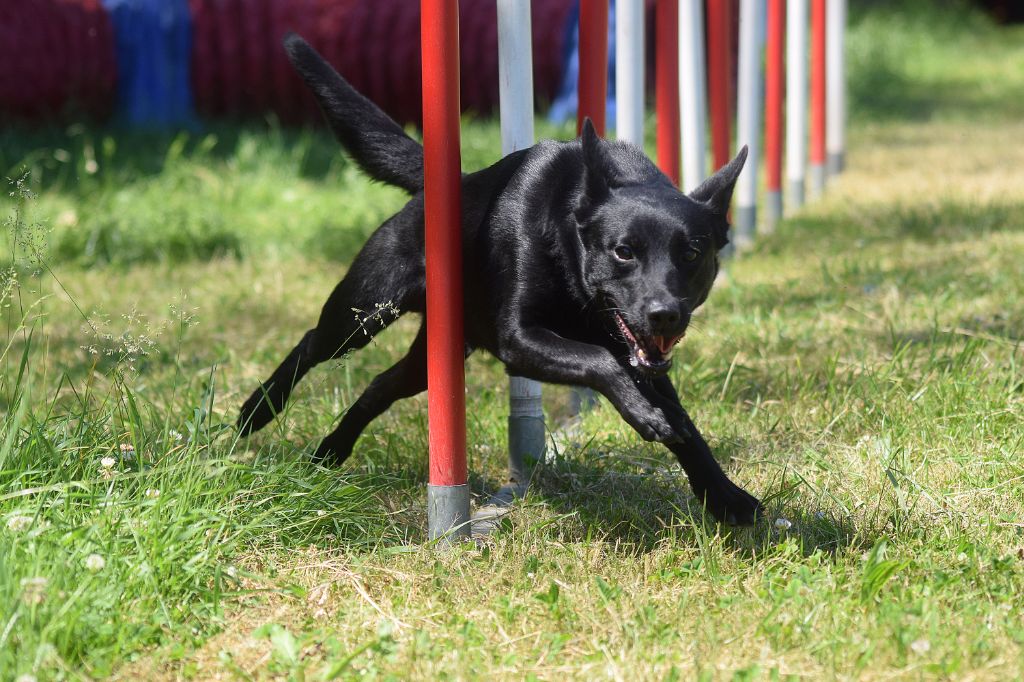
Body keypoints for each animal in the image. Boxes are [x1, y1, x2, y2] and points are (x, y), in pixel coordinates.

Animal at [239, 34, 765, 522]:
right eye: (623, 252)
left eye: (692, 253)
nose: (664, 315)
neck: (568, 245)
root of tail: (451, 183)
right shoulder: (521, 339)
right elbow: (598, 361)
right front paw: (644, 417)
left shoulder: (640, 357)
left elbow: (684, 424)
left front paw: (725, 496)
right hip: (363, 313)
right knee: (312, 342)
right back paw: (256, 412)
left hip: (433, 358)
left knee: (379, 387)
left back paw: (329, 453)